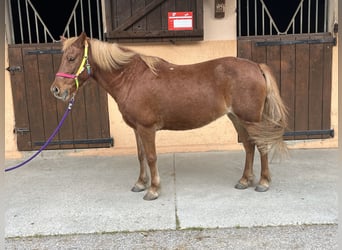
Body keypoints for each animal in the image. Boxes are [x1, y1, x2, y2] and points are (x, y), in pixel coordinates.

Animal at [50, 32, 286, 201]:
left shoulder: (147, 128)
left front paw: (153, 190)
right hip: (237, 118)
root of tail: (256, 66)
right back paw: (245, 180)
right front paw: (140, 183)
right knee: (249, 146)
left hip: (251, 119)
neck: (131, 79)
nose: (56, 90)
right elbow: (140, 156)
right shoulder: (136, 129)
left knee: (261, 146)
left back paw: (263, 183)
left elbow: (151, 157)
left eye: (71, 58)